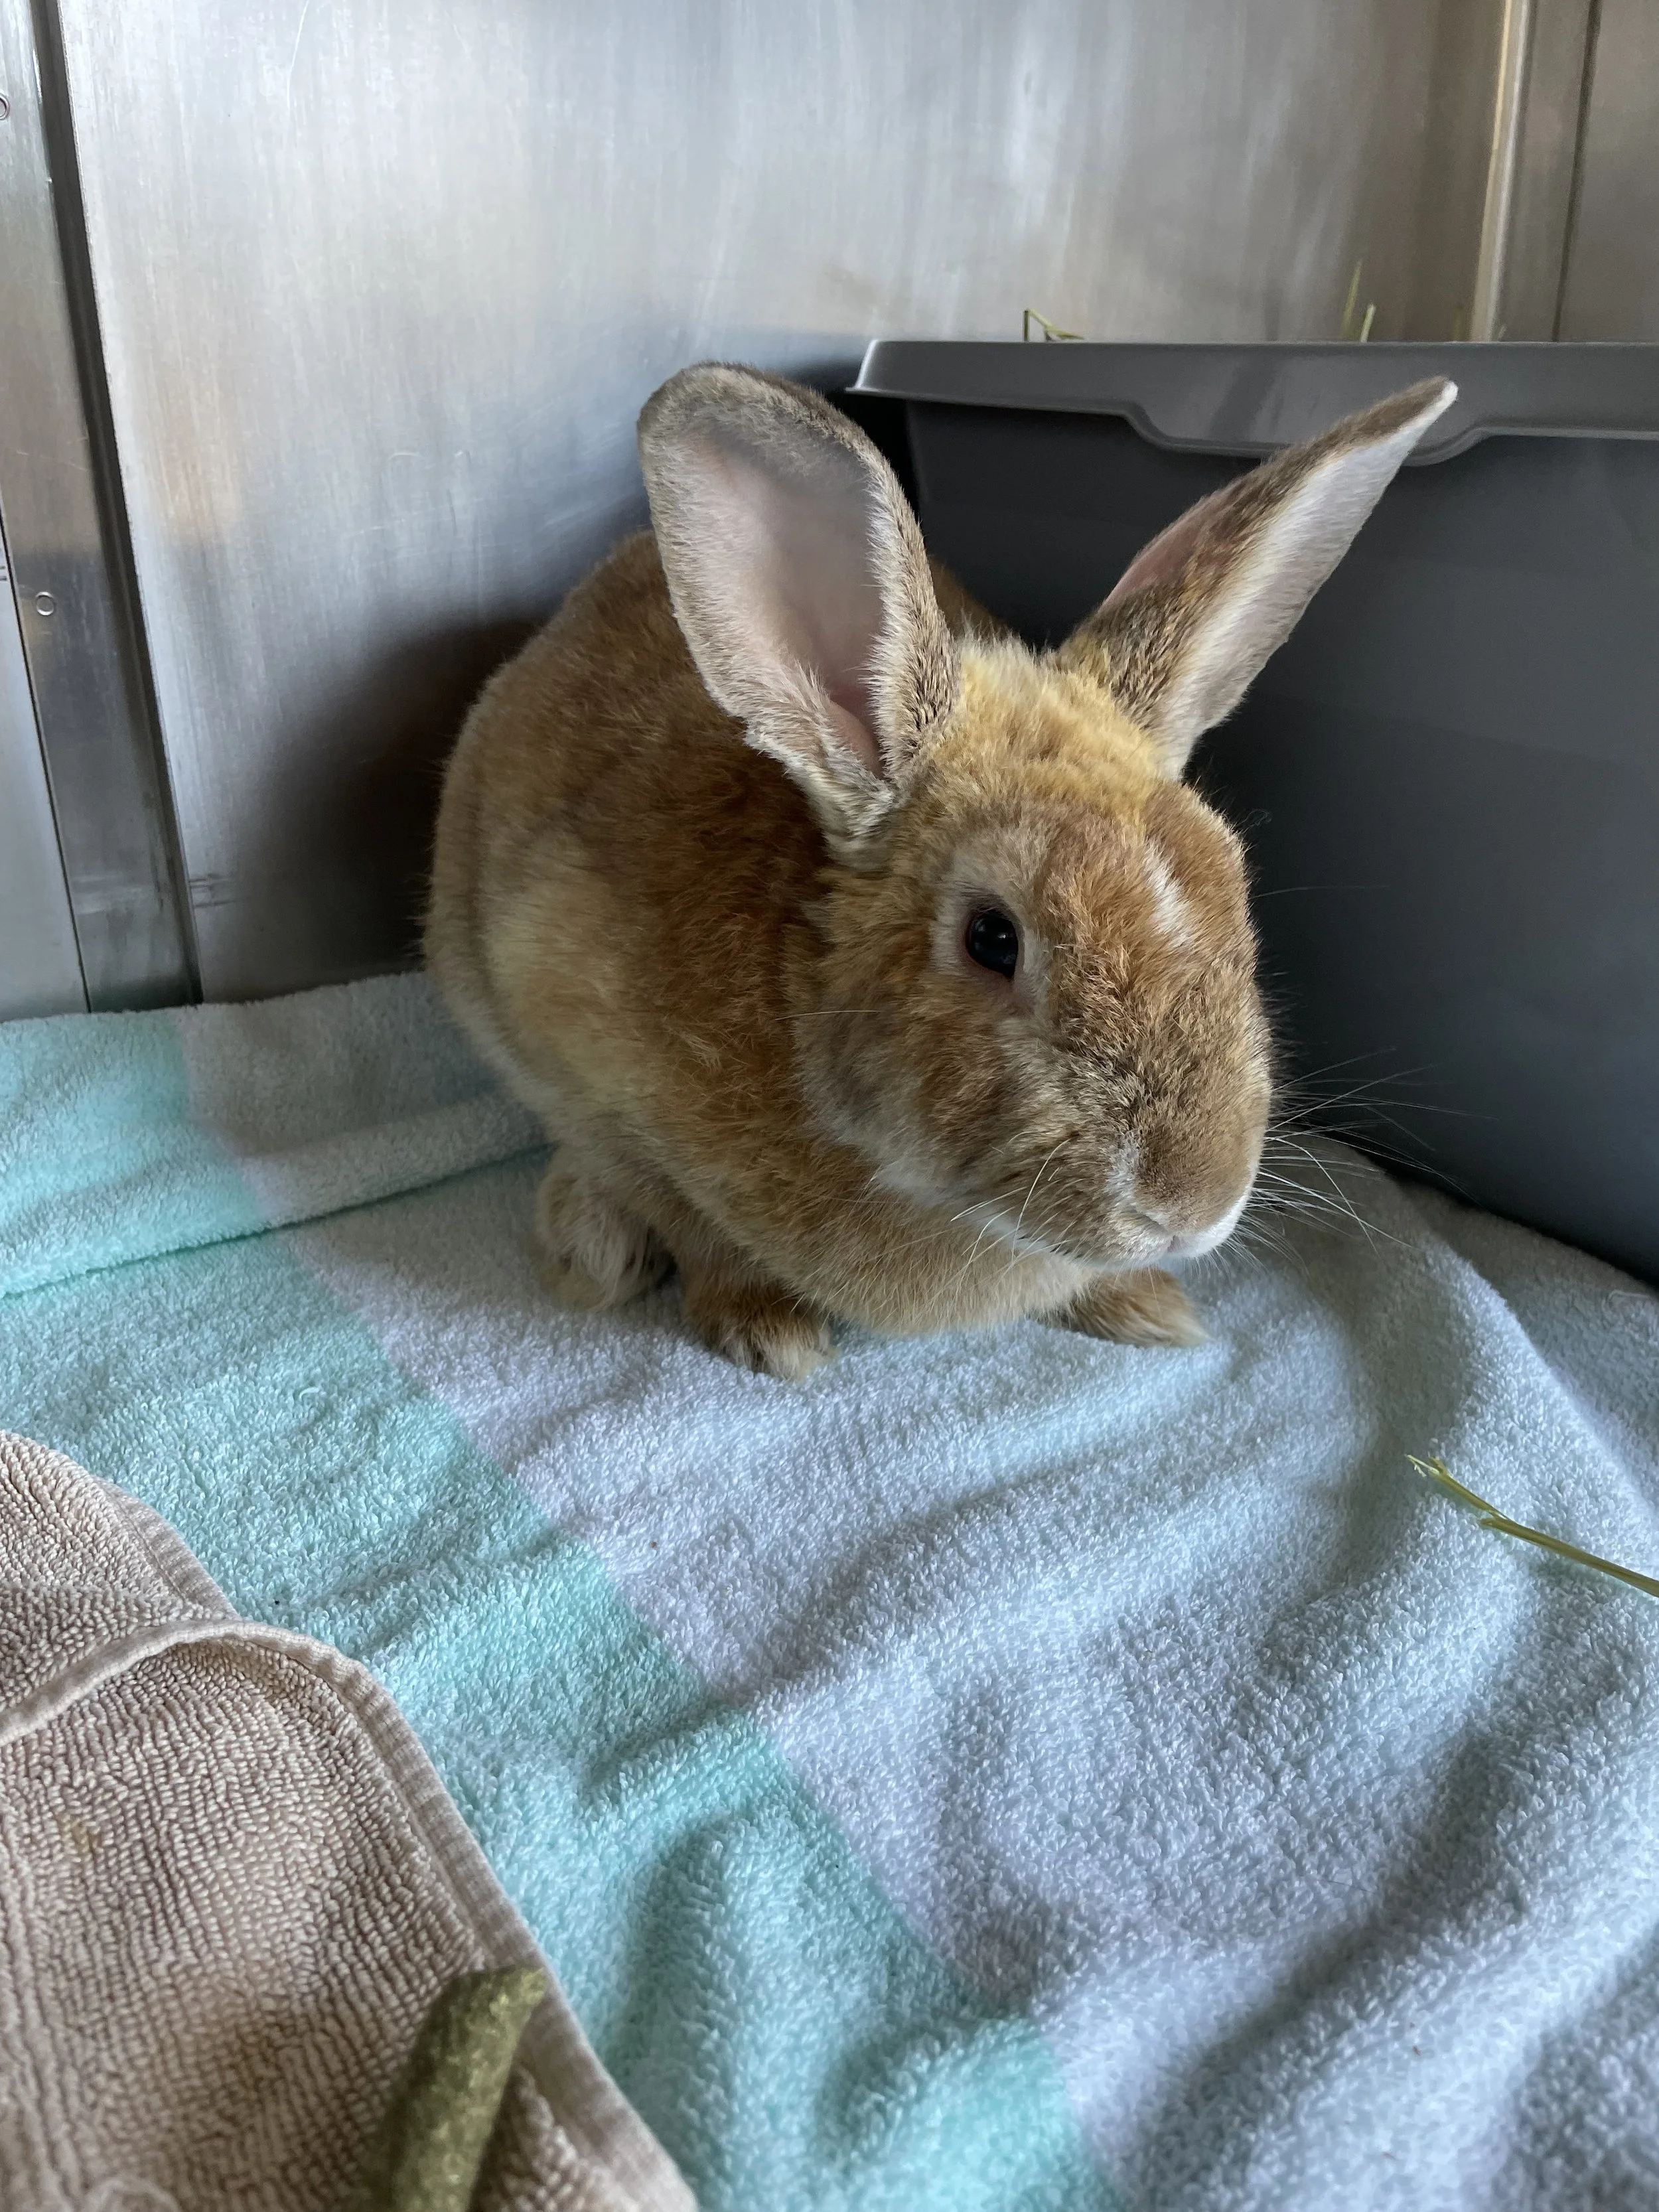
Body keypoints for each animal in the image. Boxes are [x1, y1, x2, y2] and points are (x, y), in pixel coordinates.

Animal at [427, 363, 1454, 1378]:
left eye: (1235, 885)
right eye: (992, 939)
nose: (1192, 1206)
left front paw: (1146, 1308)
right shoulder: (577, 1053)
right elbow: (687, 1219)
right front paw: (767, 1330)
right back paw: (590, 1250)